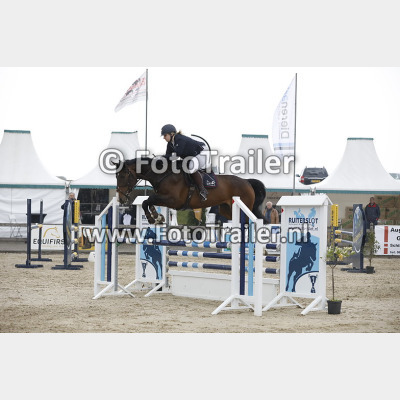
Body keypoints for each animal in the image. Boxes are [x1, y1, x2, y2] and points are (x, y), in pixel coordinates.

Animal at [114, 157, 268, 225]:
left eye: (123, 176)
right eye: (116, 176)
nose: (121, 199)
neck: (163, 175)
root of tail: (247, 182)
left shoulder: (173, 200)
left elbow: (148, 200)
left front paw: (154, 218)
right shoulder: (164, 199)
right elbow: (147, 201)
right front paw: (157, 217)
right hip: (227, 209)